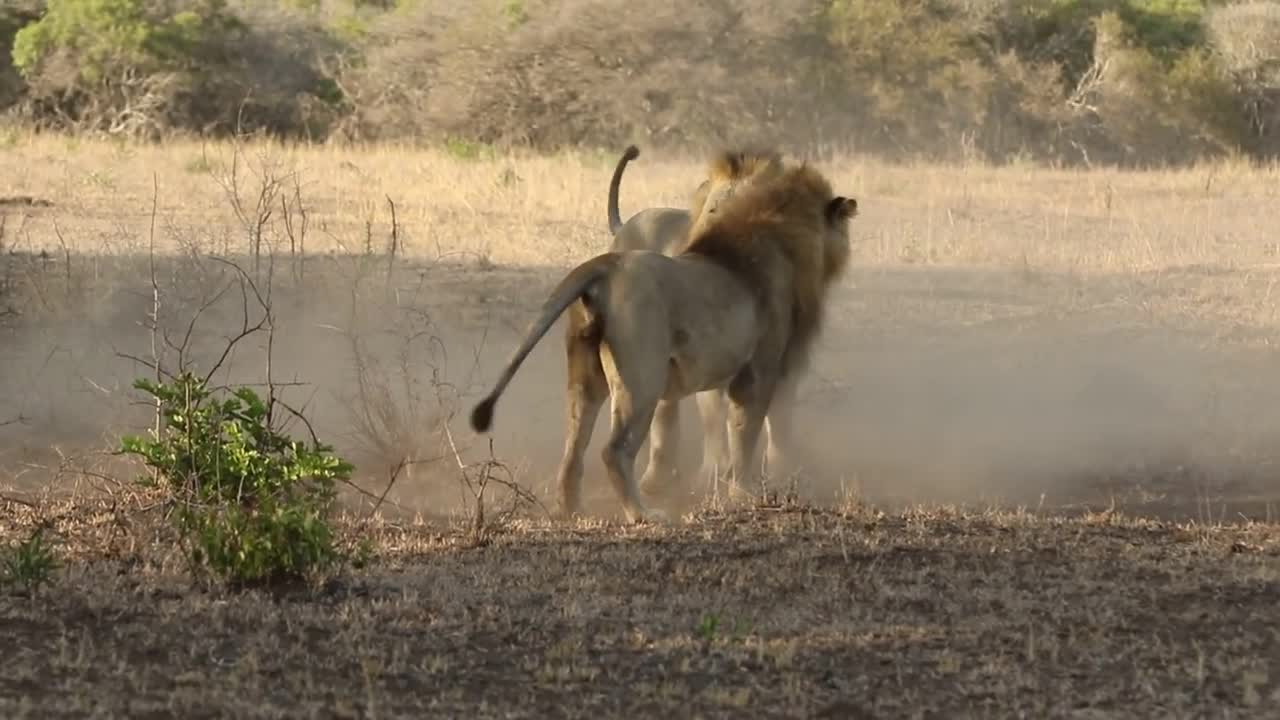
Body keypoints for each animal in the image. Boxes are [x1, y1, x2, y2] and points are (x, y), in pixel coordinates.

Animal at [465, 156, 855, 517]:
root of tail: (606, 266)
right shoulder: (758, 370)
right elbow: (745, 434)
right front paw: (744, 494)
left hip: (585, 373)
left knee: (574, 445)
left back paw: (569, 510)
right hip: (643, 377)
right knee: (615, 449)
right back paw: (643, 514)